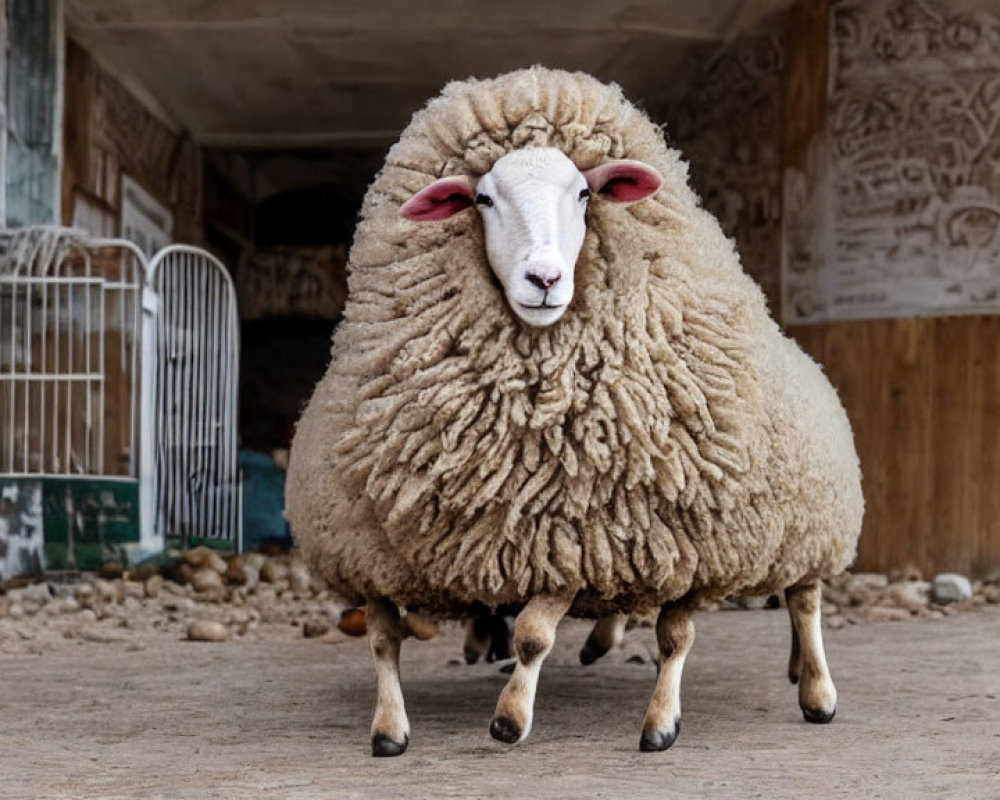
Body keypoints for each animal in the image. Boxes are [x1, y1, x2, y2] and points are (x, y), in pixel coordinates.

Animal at [286, 67, 864, 756]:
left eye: (585, 193)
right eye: (483, 200)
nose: (544, 278)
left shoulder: (584, 535)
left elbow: (549, 634)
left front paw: (516, 717)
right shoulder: (374, 552)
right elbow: (381, 639)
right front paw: (389, 728)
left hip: (795, 527)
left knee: (799, 601)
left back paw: (810, 692)